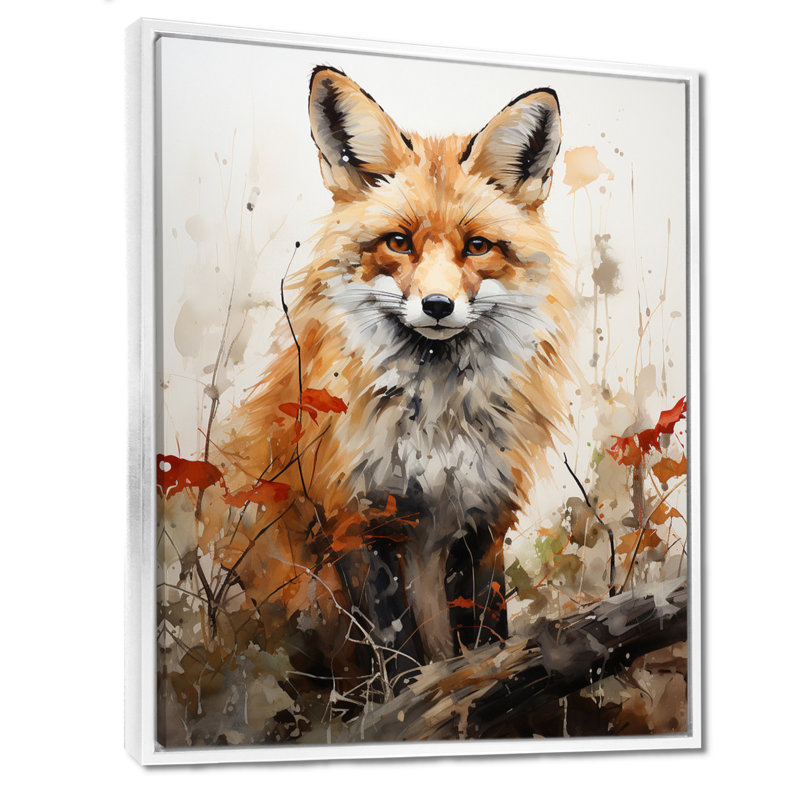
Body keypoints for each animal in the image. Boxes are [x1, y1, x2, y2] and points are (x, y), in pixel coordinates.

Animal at [207, 66, 574, 687]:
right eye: (398, 242)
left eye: (478, 246)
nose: (437, 305)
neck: (436, 424)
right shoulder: (357, 519)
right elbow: (395, 653)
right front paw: (405, 702)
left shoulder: (483, 519)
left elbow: (486, 636)